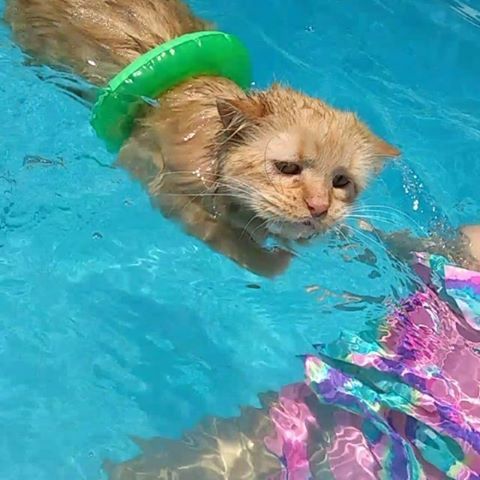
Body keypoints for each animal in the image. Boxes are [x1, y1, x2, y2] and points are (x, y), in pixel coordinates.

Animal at [5, 0, 400, 276]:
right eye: (288, 168)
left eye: (341, 182)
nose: (319, 208)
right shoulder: (164, 182)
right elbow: (231, 244)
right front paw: (274, 258)